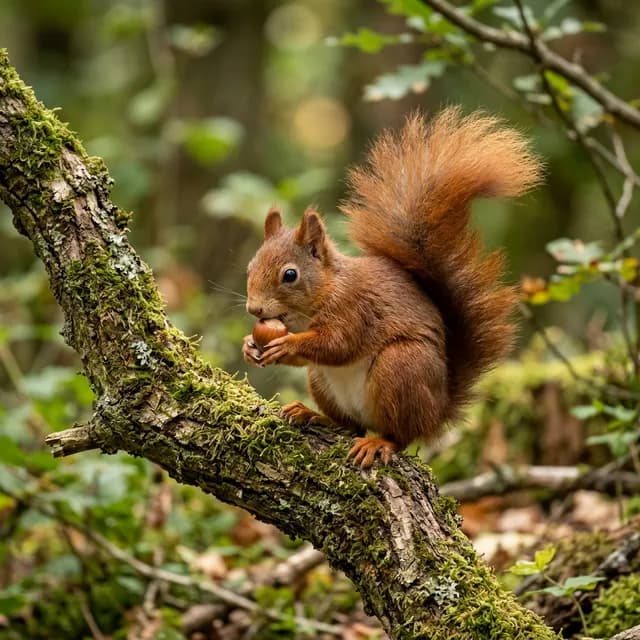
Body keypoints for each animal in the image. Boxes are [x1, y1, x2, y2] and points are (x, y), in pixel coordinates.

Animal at [242, 108, 541, 467]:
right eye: (249, 267)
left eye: (290, 275)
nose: (254, 309)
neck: (321, 296)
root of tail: (437, 411)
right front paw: (249, 346)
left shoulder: (355, 308)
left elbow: (337, 344)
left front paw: (287, 345)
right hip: (321, 381)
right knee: (350, 425)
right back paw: (314, 415)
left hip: (400, 368)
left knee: (401, 434)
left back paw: (379, 443)